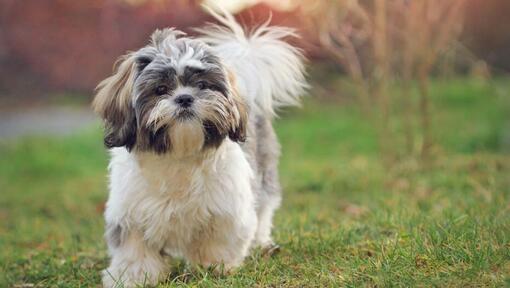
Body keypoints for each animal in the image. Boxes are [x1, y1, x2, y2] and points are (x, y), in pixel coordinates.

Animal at [92, 9, 306, 288]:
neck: (179, 154)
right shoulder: (130, 211)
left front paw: (215, 267)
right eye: (161, 89)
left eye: (203, 85)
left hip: (264, 173)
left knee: (264, 210)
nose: (185, 98)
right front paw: (132, 276)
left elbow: (218, 241)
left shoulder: (227, 208)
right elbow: (134, 248)